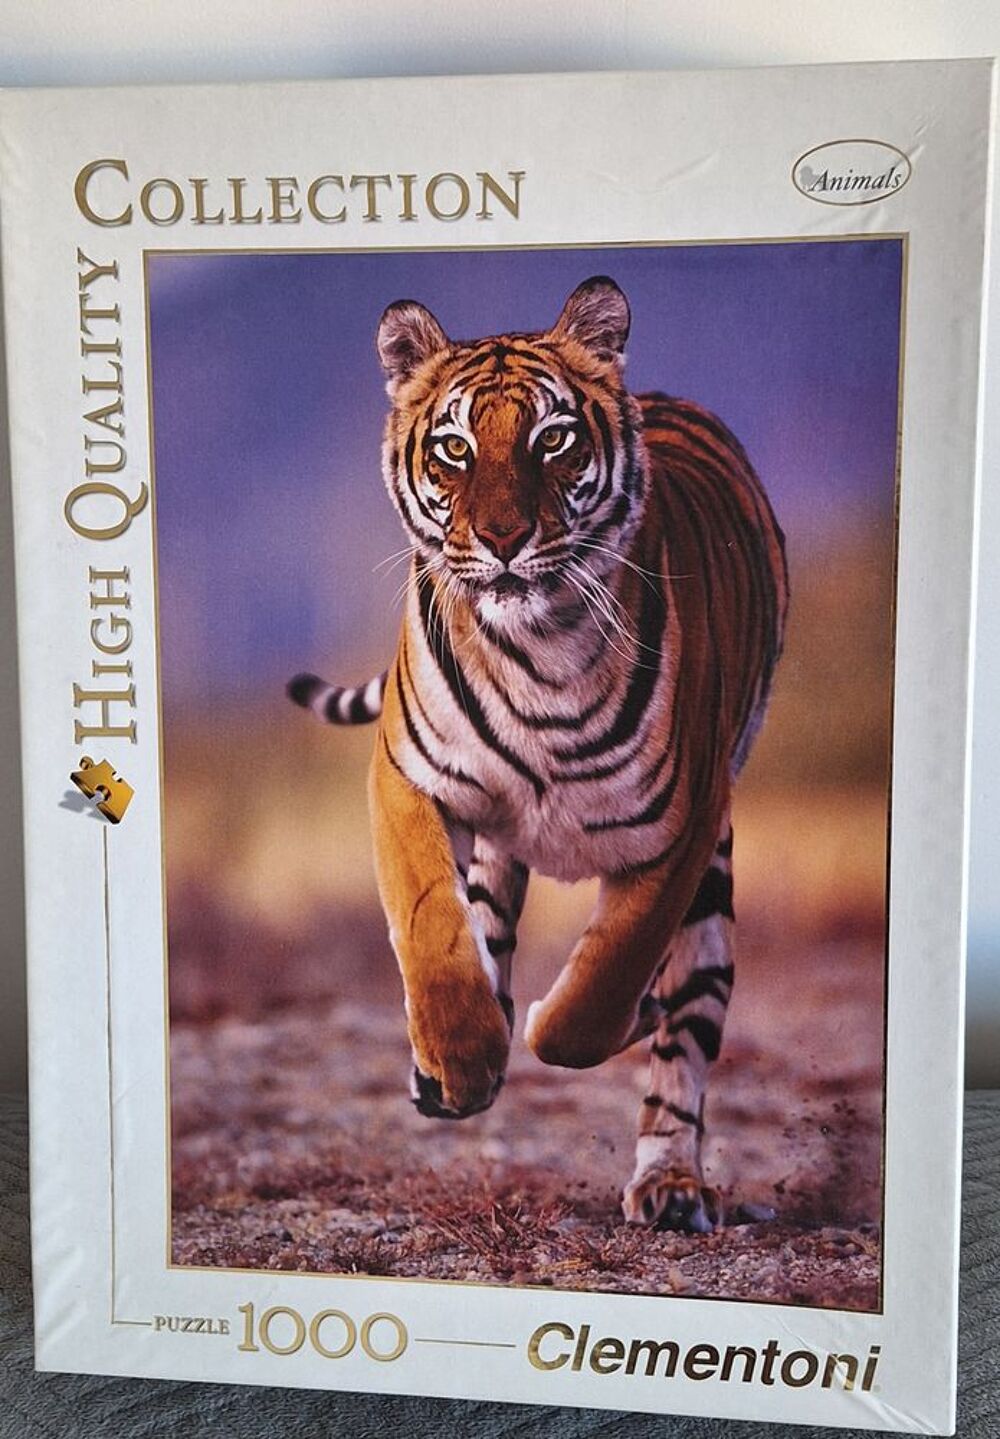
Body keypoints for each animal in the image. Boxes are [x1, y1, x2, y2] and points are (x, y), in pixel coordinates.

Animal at [288, 276, 787, 1233]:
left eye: (551, 439)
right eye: (453, 447)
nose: (503, 538)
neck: (536, 651)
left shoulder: (681, 826)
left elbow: (601, 987)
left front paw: (588, 1015)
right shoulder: (406, 776)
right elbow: (431, 927)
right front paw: (460, 1057)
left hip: (713, 882)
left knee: (682, 1040)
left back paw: (671, 1181)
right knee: (483, 923)